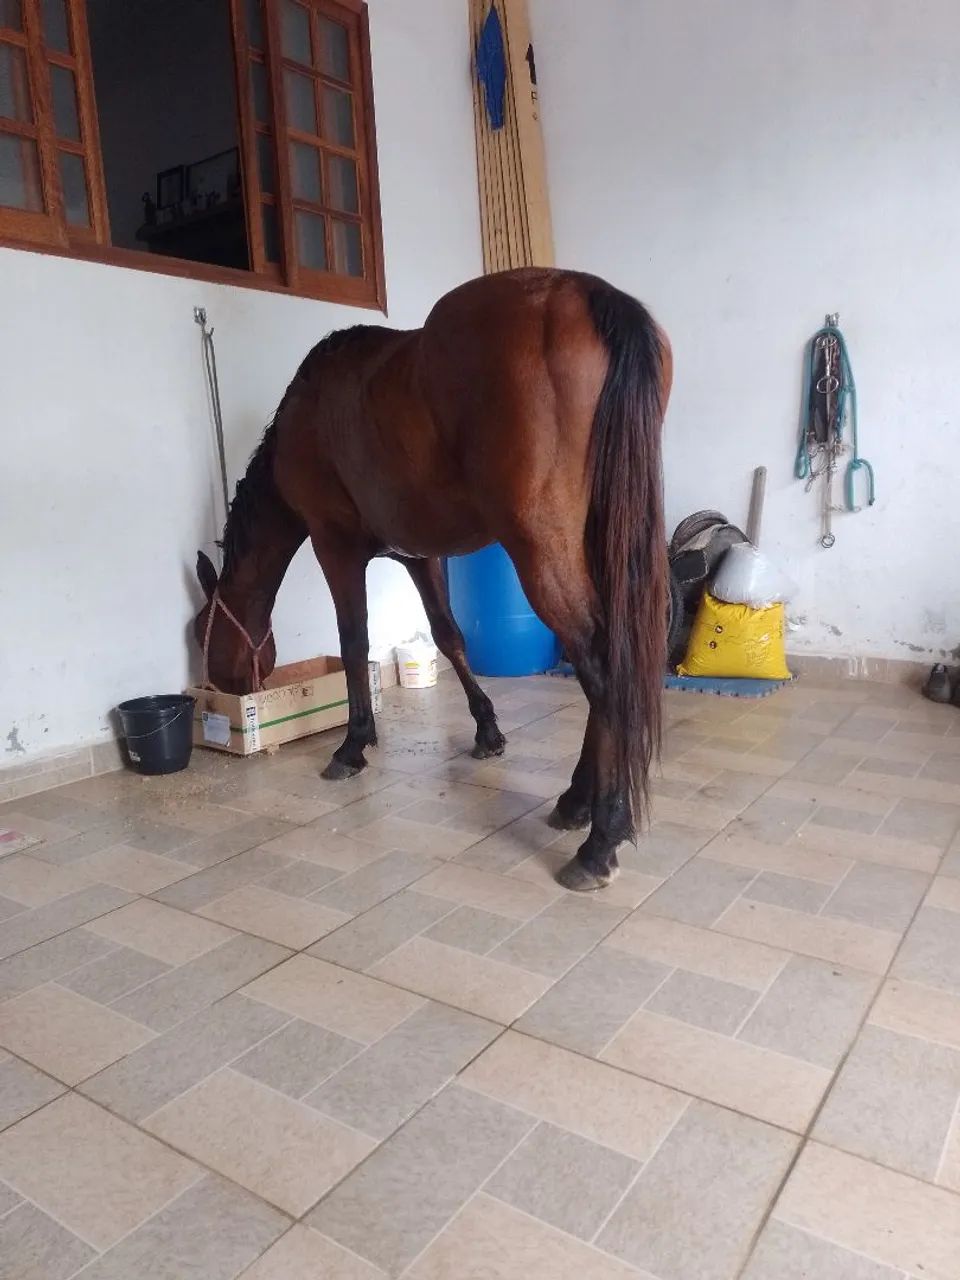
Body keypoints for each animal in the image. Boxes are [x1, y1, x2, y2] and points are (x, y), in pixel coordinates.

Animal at [193, 267, 672, 892]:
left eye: (202, 627)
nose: (216, 688)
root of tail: (591, 294)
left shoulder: (334, 545)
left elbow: (355, 645)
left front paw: (353, 745)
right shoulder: (420, 558)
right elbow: (449, 637)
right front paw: (487, 731)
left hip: (541, 550)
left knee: (599, 662)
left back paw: (600, 839)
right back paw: (576, 802)